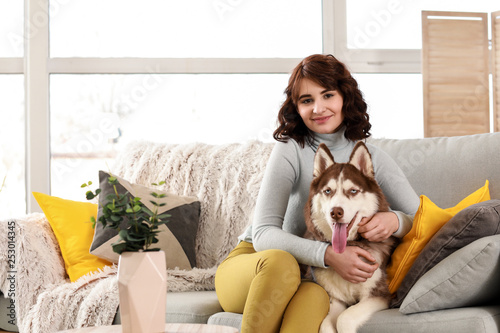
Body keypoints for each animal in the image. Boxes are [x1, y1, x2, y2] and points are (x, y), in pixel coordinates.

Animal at [302, 141, 396, 332]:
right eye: (328, 191)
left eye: (353, 191)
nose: (336, 212)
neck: (349, 247)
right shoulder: (336, 299)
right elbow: (326, 325)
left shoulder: (379, 294)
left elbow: (344, 318)